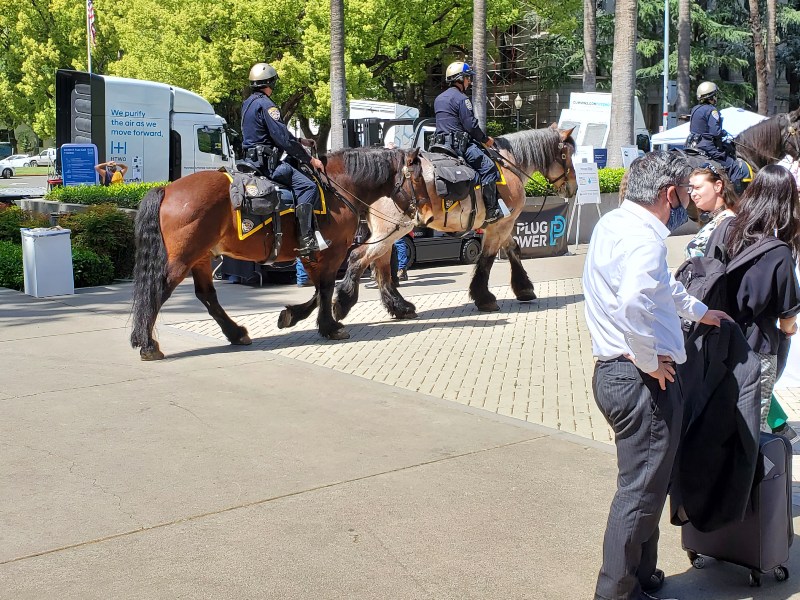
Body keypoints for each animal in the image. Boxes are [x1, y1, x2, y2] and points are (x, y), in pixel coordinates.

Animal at [130, 147, 428, 358]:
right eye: (418, 178)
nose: (423, 212)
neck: (337, 187)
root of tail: (167, 188)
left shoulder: (312, 255)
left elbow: (319, 291)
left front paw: (295, 316)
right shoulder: (331, 253)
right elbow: (325, 288)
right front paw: (332, 323)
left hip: (202, 257)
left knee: (207, 296)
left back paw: (235, 333)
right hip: (182, 258)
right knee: (158, 290)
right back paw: (148, 344)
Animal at [332, 124, 576, 322]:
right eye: (566, 154)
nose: (573, 188)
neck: (509, 165)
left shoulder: (501, 224)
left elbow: (513, 249)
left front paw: (523, 288)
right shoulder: (501, 224)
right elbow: (487, 259)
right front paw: (484, 297)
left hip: (388, 232)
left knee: (380, 266)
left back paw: (399, 306)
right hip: (393, 229)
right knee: (358, 257)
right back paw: (342, 302)